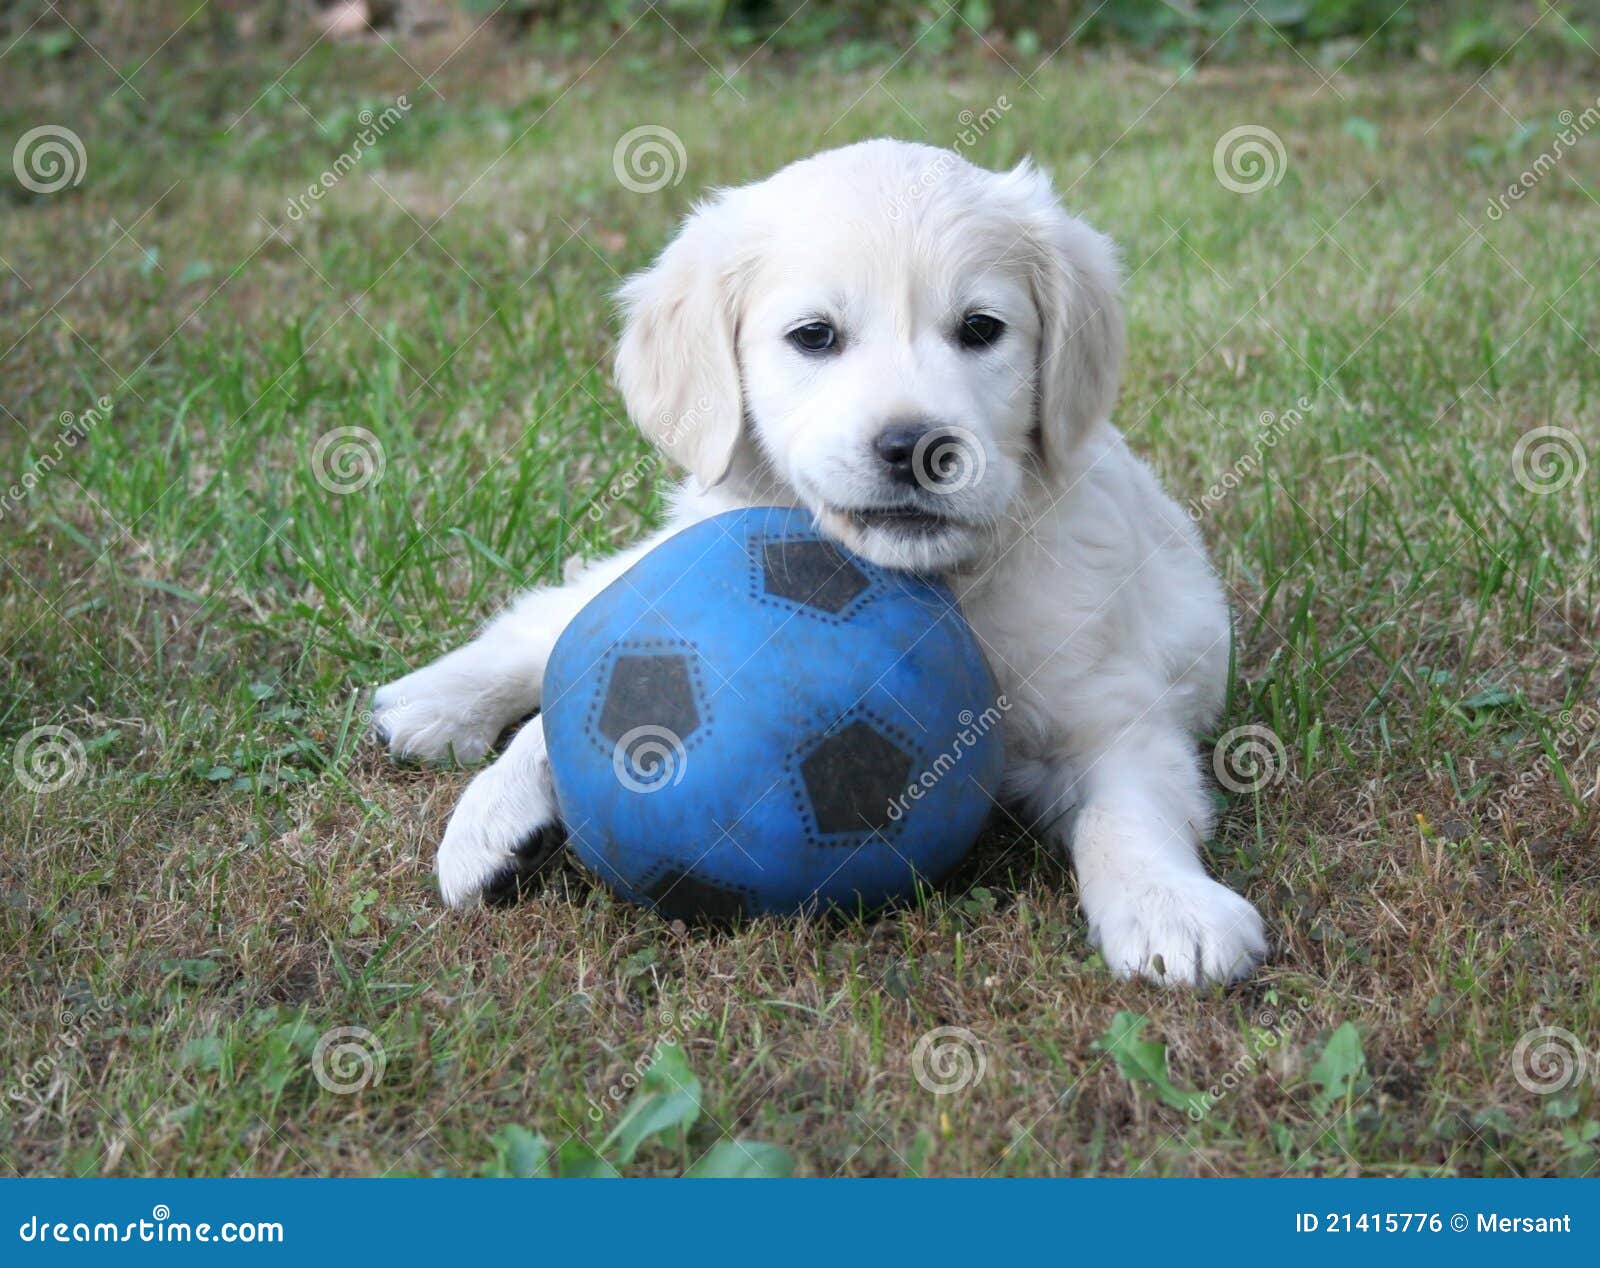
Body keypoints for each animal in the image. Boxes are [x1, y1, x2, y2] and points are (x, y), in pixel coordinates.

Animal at [368, 140, 1267, 992]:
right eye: (814, 336)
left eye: (982, 329)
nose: (915, 446)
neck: (945, 580)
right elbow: (573, 698)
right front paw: (496, 808)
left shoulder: (1114, 710)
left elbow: (1128, 814)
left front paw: (1170, 907)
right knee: (559, 617)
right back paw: (439, 704)